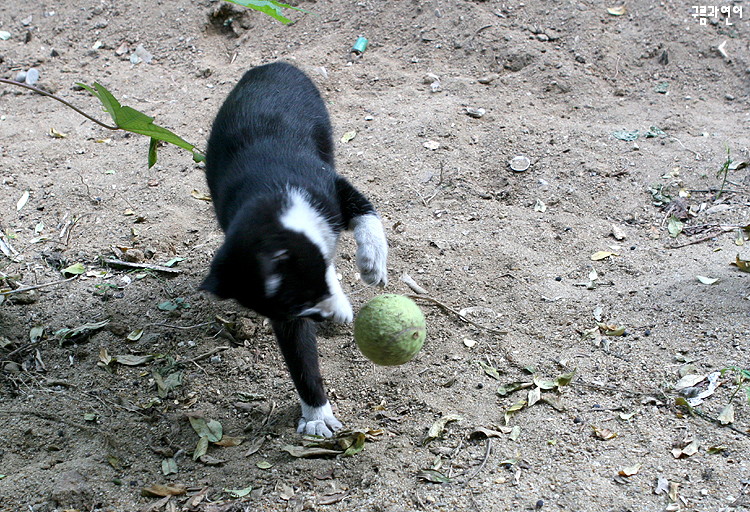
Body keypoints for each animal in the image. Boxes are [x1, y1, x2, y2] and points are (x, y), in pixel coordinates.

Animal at [201, 61, 388, 436]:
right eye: (293, 308)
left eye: (309, 294)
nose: (331, 319)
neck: (273, 197)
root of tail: (269, 65)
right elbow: (299, 355)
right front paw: (316, 415)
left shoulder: (330, 186)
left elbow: (366, 211)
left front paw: (372, 262)